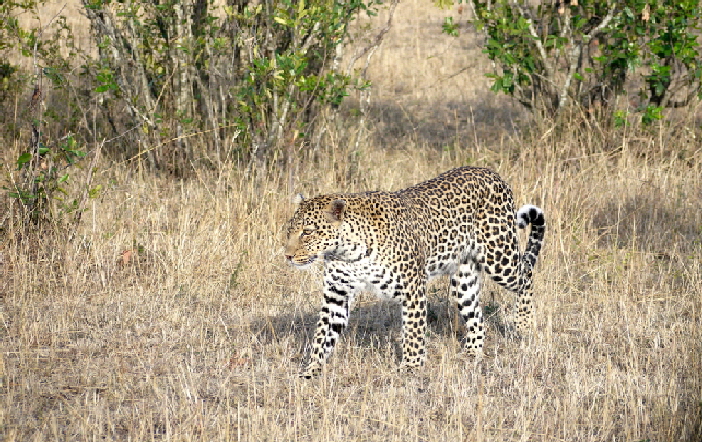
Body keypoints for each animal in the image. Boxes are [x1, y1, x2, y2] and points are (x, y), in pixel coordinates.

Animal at [284, 166, 548, 376]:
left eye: (307, 232)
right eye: (290, 230)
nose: (287, 255)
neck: (348, 251)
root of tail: (491, 172)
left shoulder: (412, 288)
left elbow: (413, 330)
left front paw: (411, 367)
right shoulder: (336, 294)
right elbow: (322, 335)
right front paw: (310, 371)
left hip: (500, 257)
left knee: (526, 275)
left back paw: (524, 325)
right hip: (463, 279)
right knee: (476, 315)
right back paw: (472, 353)